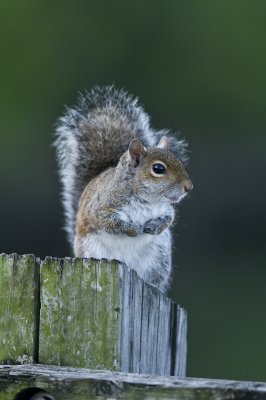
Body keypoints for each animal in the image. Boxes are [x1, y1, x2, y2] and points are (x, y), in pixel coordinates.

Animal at [54, 85, 191, 290]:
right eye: (158, 169)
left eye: (179, 161)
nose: (188, 187)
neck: (146, 200)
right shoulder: (101, 206)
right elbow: (108, 221)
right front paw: (133, 229)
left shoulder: (165, 208)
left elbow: (169, 217)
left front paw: (154, 226)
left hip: (158, 259)